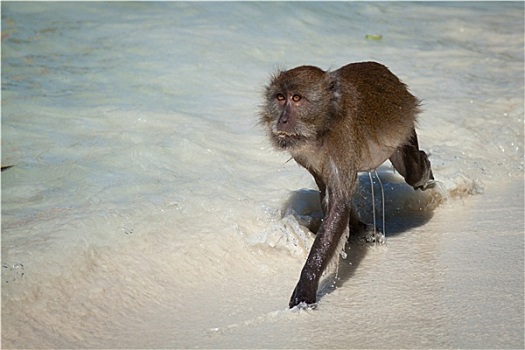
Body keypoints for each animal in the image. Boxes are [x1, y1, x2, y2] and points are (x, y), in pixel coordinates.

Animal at [258, 61, 434, 308]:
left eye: (297, 98)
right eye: (280, 98)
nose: (281, 120)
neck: (324, 125)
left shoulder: (343, 139)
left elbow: (338, 203)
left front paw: (306, 285)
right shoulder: (303, 154)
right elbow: (330, 196)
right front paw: (358, 230)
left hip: (405, 127)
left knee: (412, 173)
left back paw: (424, 168)